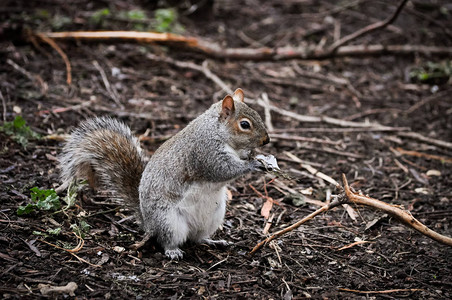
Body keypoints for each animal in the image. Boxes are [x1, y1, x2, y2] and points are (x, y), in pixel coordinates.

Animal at [60, 88, 272, 258]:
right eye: (245, 125)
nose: (266, 140)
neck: (217, 132)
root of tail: (148, 223)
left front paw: (253, 155)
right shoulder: (205, 152)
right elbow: (222, 170)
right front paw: (253, 164)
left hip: (214, 216)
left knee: (197, 238)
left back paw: (213, 241)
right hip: (169, 221)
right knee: (167, 239)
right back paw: (172, 251)